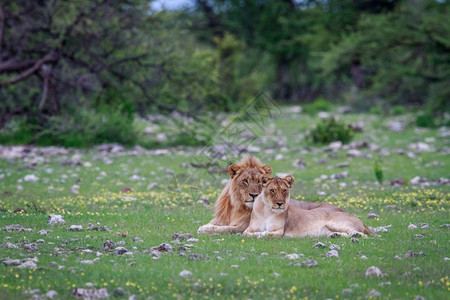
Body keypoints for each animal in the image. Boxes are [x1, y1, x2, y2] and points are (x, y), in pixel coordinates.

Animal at [197, 156, 342, 236]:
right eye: (245, 181)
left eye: (259, 182)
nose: (254, 195)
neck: (238, 208)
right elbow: (217, 224)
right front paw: (206, 226)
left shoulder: (244, 227)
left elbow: (225, 229)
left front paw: (204, 229)